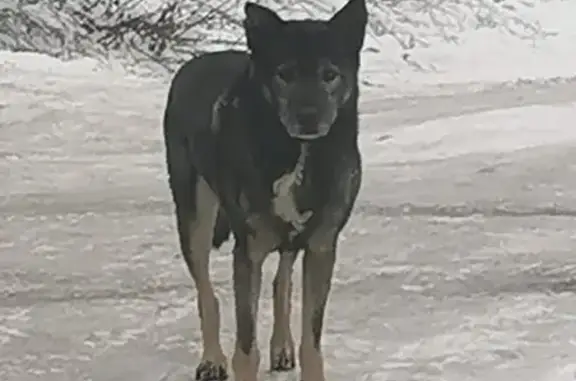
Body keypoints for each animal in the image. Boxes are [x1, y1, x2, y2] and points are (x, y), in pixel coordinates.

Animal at [162, 0, 368, 378]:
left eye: (329, 75)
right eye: (284, 74)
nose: (308, 117)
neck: (297, 154)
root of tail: (195, 63)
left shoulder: (321, 245)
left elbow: (311, 342)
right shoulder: (249, 250)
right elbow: (245, 348)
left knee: (281, 280)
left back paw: (281, 346)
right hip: (194, 215)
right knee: (206, 292)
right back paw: (212, 359)